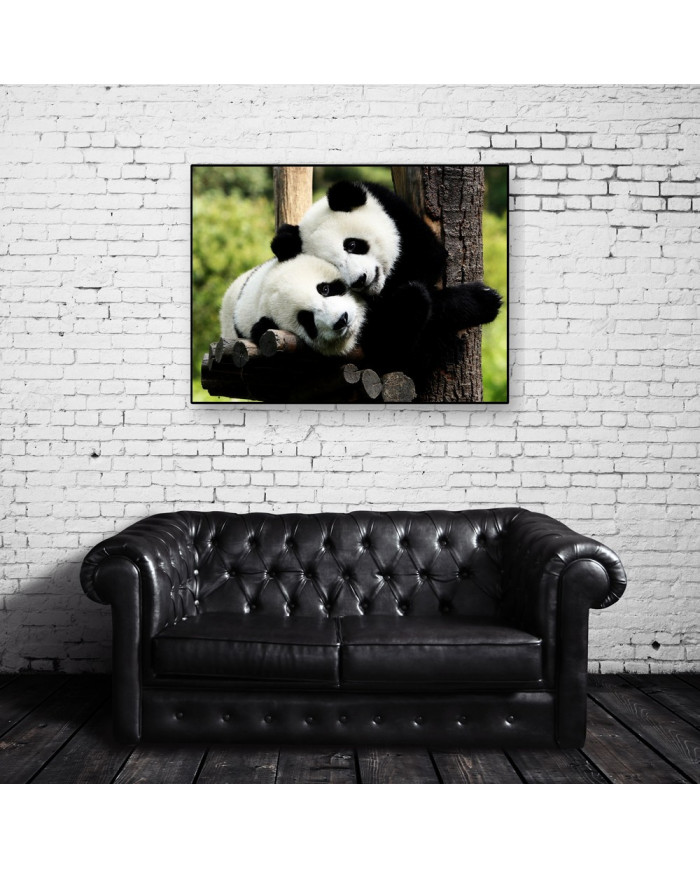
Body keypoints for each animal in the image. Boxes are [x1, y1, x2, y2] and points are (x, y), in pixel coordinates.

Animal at [271, 180, 502, 378]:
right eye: (334, 266)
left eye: (351, 245)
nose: (360, 280)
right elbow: (386, 332)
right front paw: (483, 301)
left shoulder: (399, 217)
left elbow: (430, 259)